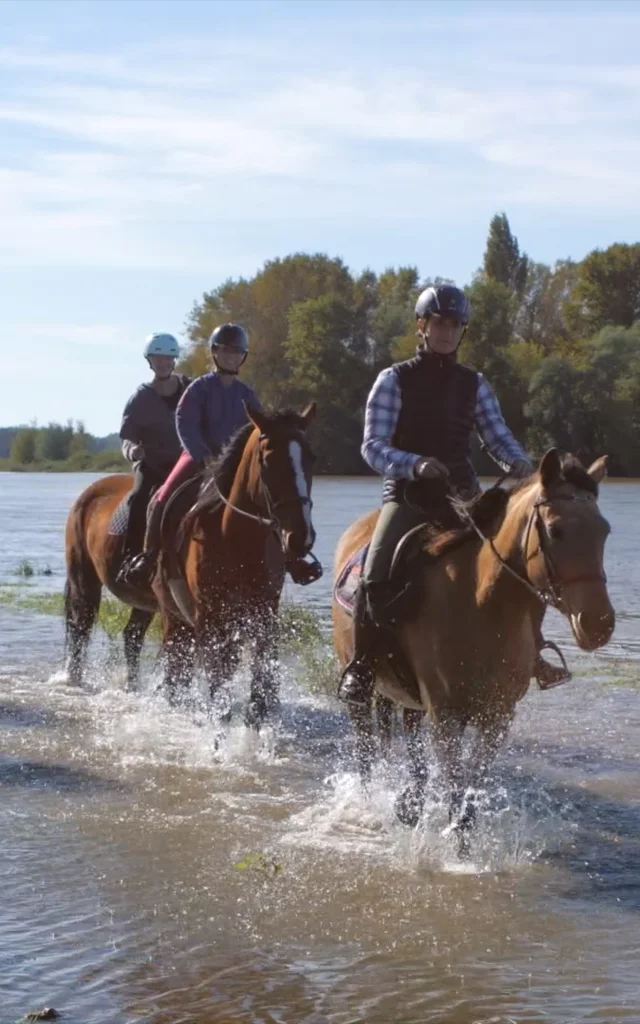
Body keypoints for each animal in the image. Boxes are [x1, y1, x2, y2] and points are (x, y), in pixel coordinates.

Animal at [331, 452, 610, 851]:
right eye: (556, 530)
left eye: (604, 531)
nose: (599, 623)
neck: (481, 605)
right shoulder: (446, 715)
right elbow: (455, 788)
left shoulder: (496, 716)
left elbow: (470, 792)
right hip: (363, 695)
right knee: (367, 753)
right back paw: (372, 807)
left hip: (410, 698)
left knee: (410, 741)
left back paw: (409, 804)